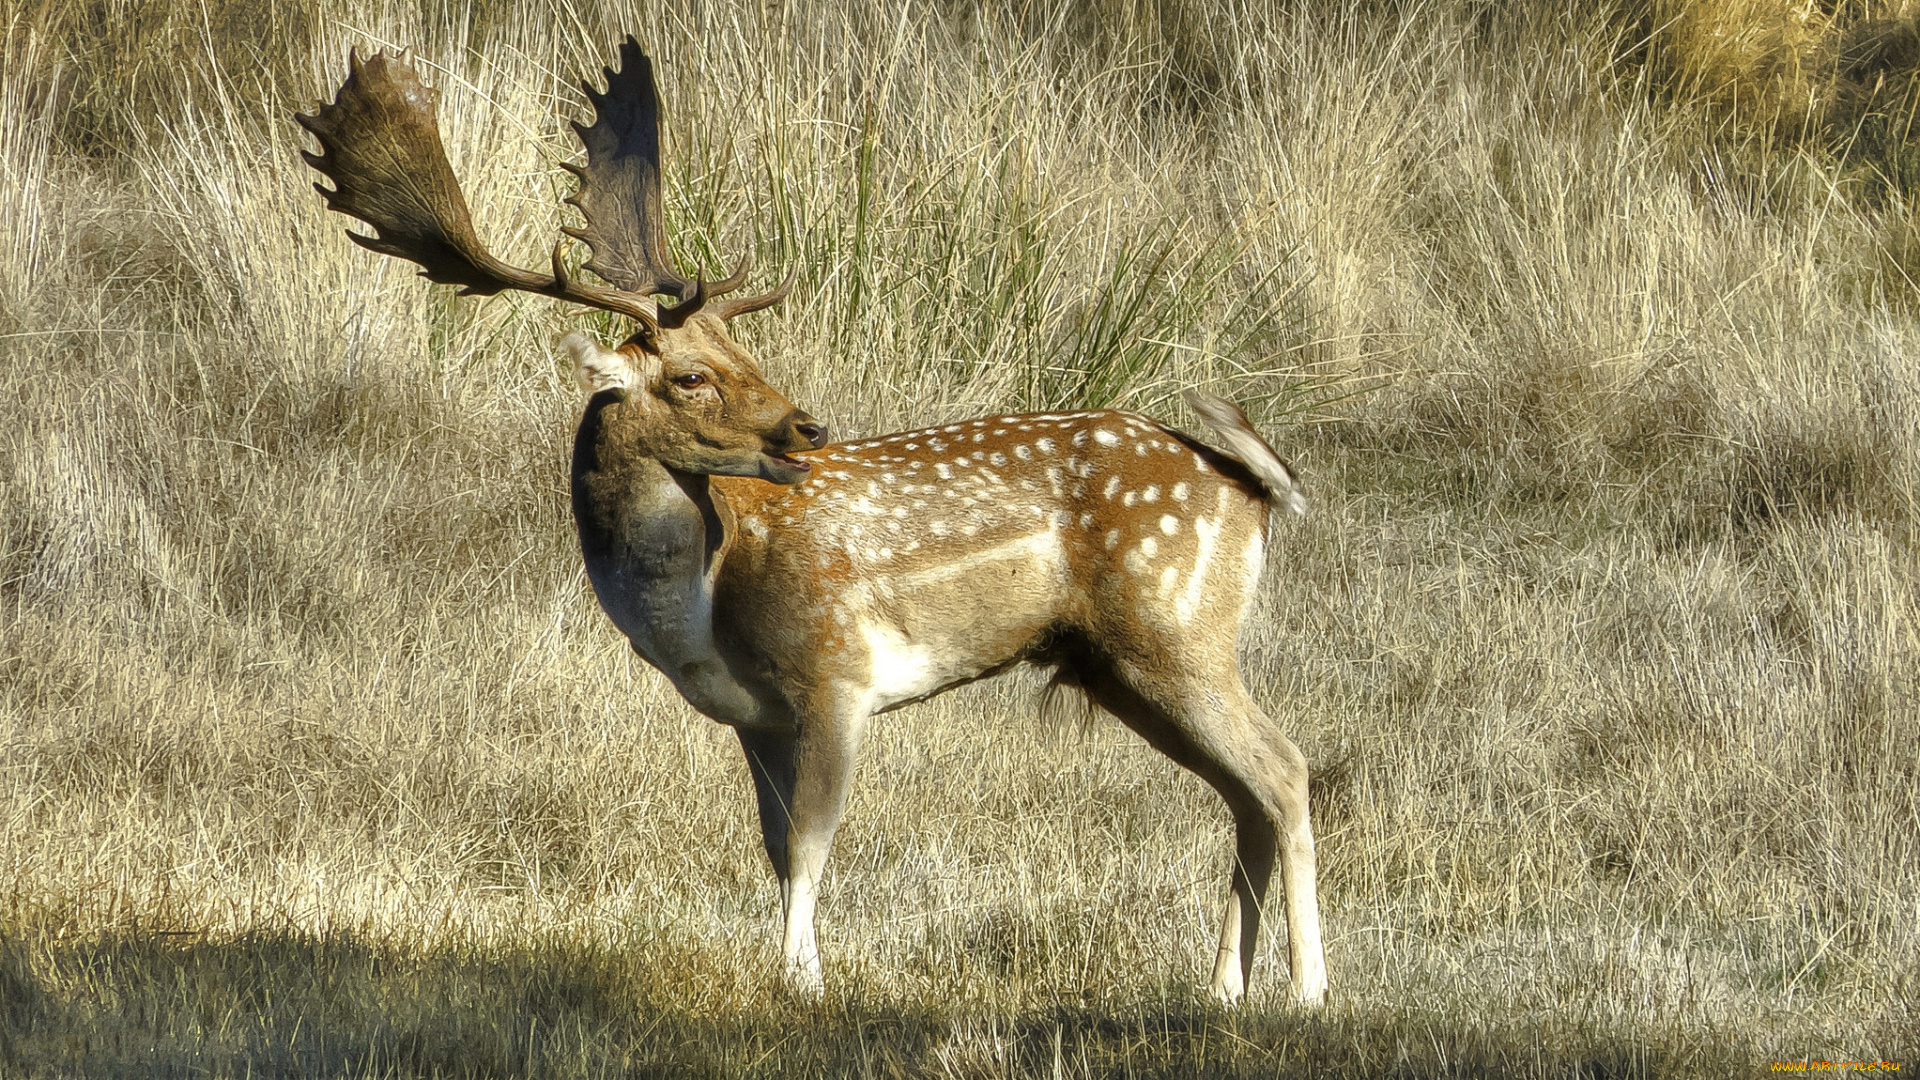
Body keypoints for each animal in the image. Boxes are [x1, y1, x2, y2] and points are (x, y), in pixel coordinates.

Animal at [299, 37, 1328, 1006]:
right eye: (692, 374)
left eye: (743, 350)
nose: (806, 427)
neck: (700, 604)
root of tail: (1248, 488)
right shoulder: (753, 714)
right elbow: (771, 842)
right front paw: (797, 968)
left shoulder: (837, 670)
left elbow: (811, 841)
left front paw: (802, 983)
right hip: (1118, 665)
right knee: (1245, 794)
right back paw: (1225, 987)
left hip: (1175, 630)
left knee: (1283, 769)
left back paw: (1309, 990)